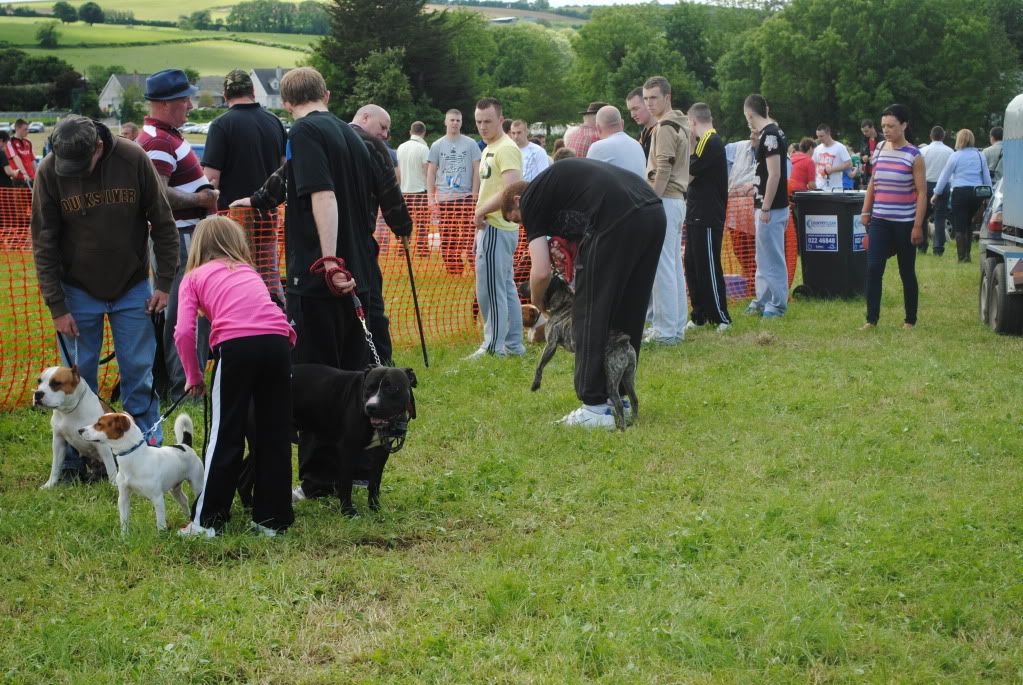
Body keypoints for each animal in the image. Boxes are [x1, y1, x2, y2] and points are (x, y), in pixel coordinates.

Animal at [531, 276, 634, 429]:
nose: (521, 285)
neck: (564, 303)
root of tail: (624, 342)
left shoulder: (550, 344)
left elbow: (539, 366)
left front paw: (535, 384)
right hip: (628, 377)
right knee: (634, 400)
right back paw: (634, 421)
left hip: (612, 378)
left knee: (619, 403)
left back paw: (622, 428)